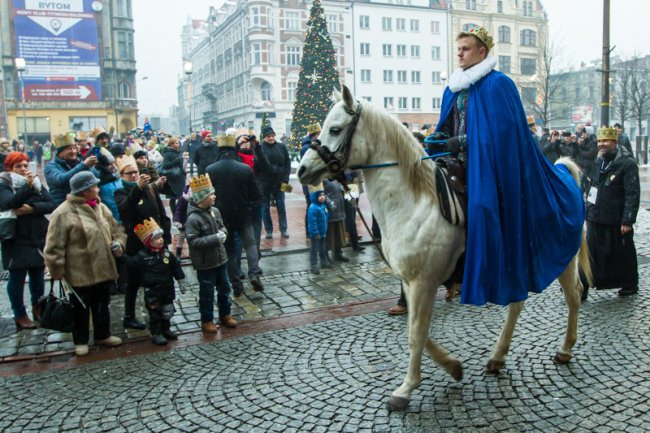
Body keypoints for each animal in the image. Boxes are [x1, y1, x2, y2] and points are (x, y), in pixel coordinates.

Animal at [296, 85, 588, 412]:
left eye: (335, 129)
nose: (303, 170)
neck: (413, 204)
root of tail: (565, 174)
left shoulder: (424, 281)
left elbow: (416, 334)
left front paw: (405, 389)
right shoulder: (411, 281)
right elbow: (418, 330)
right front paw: (453, 366)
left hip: (563, 259)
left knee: (573, 295)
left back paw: (565, 349)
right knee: (517, 303)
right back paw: (498, 356)